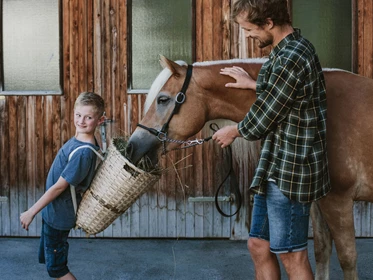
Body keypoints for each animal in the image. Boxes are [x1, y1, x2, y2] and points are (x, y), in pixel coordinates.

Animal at [125, 55, 372, 280]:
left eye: (163, 99)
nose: (131, 147)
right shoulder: (316, 199)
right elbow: (322, 252)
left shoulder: (338, 200)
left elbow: (347, 259)